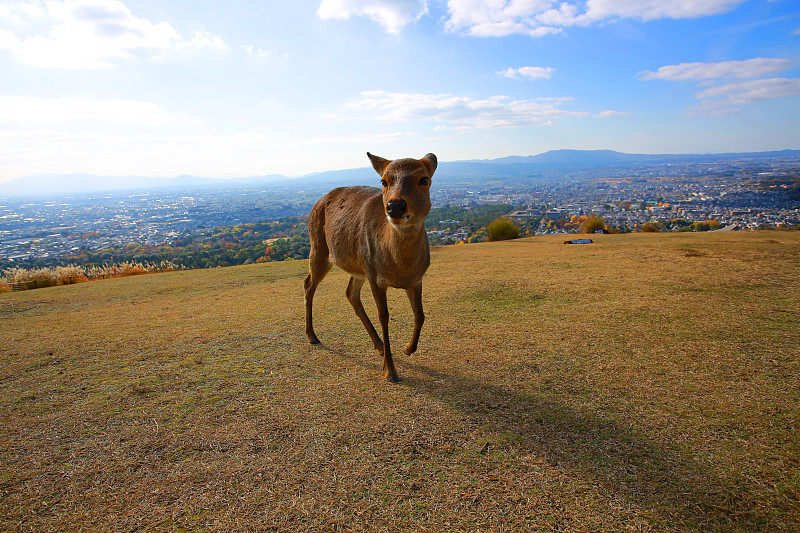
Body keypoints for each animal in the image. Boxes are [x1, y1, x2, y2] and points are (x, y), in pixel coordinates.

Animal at [304, 152, 438, 380]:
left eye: (424, 179)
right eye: (384, 181)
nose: (395, 206)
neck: (402, 269)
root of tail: (317, 203)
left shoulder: (417, 278)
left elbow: (420, 315)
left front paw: (407, 349)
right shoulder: (375, 277)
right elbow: (384, 317)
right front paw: (390, 372)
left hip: (358, 268)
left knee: (350, 293)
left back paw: (380, 346)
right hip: (319, 248)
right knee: (308, 285)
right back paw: (312, 336)